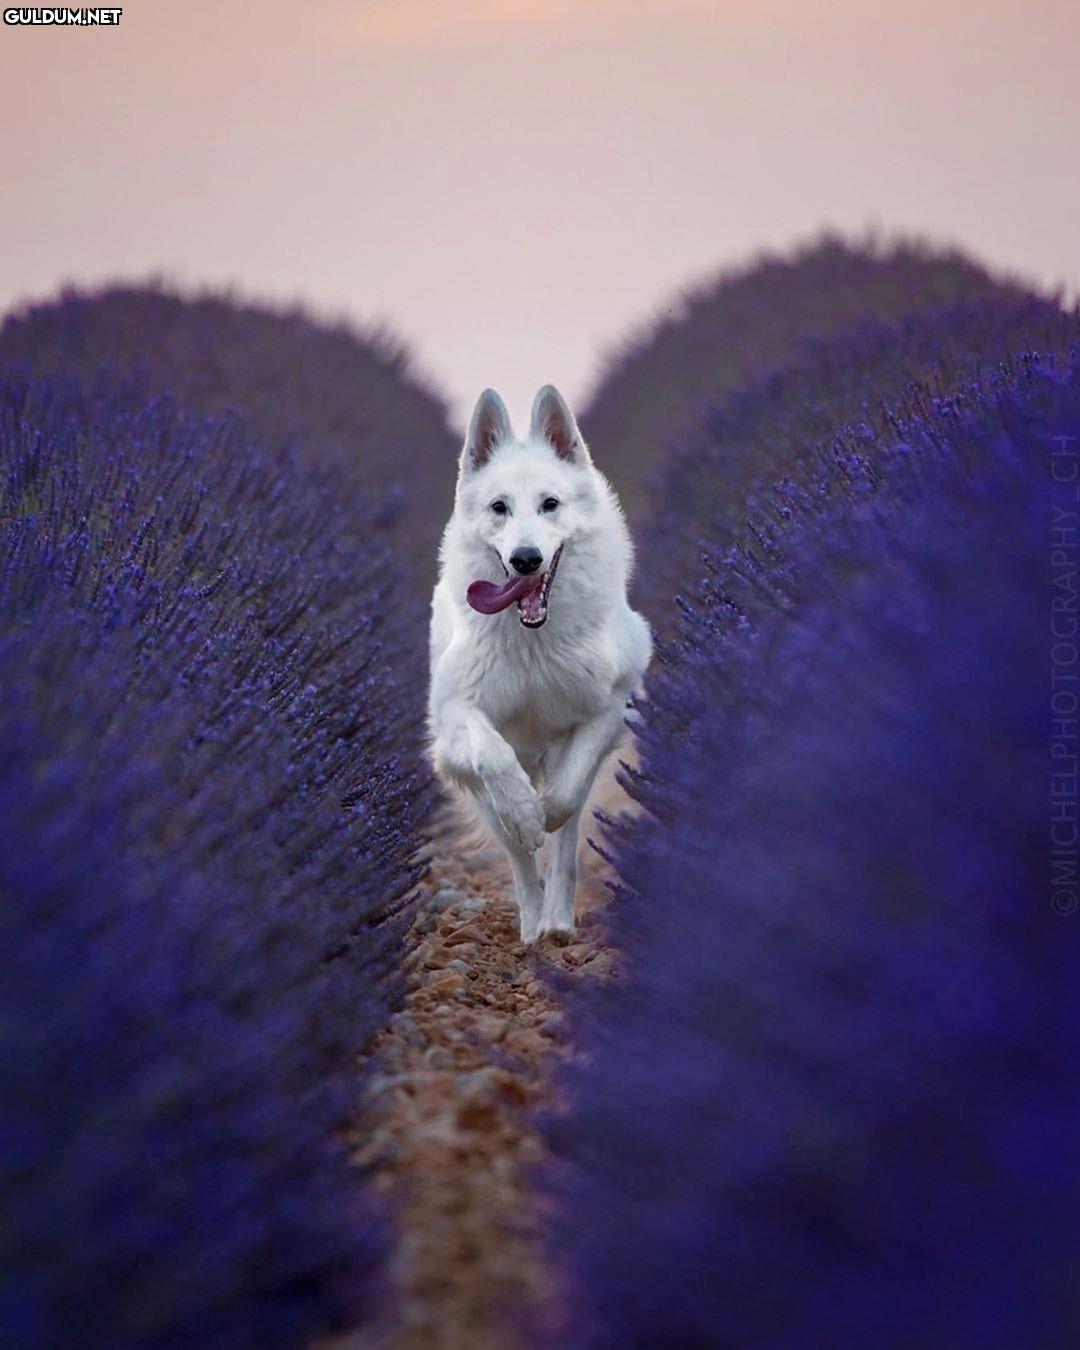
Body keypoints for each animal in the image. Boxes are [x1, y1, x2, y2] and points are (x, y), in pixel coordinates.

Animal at [429, 386, 650, 945]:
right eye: (499, 507)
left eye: (550, 505)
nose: (526, 559)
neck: (534, 644)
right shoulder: (455, 718)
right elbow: (493, 756)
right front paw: (526, 813)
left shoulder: (607, 707)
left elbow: (566, 796)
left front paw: (544, 810)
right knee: (517, 856)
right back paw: (531, 926)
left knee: (566, 843)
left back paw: (556, 923)